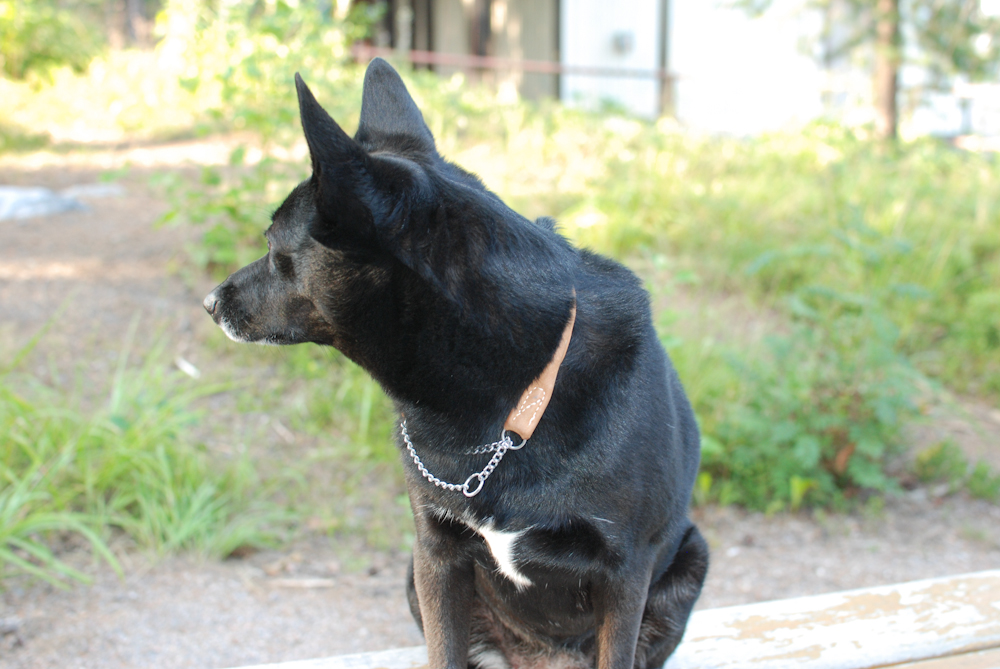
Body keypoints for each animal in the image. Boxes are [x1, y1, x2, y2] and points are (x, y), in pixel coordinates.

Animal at [203, 58, 708, 669]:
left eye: (275, 248)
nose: (209, 303)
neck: (514, 403)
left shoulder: (624, 574)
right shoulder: (435, 553)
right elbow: (442, 648)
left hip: (693, 559)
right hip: (412, 573)